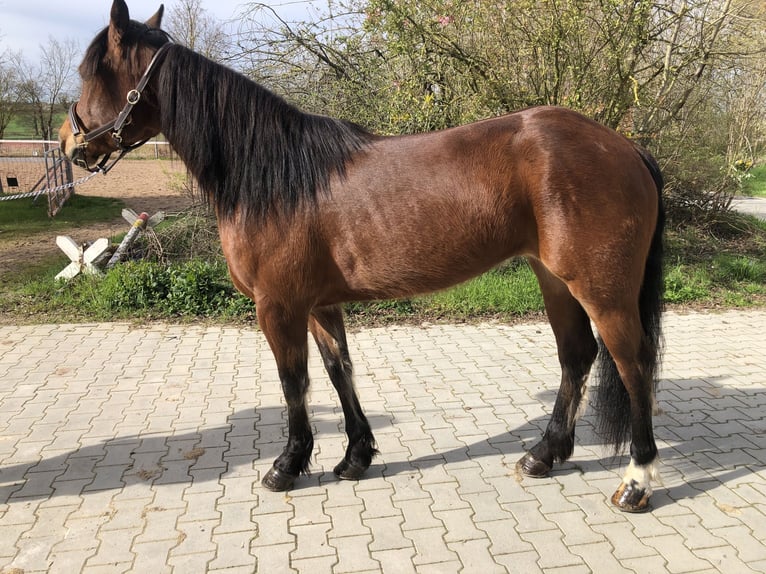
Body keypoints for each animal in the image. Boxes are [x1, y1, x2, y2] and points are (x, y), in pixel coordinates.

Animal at [60, 0, 664, 512]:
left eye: (91, 73)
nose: (69, 143)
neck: (275, 178)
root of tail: (625, 147)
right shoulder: (319, 304)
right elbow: (338, 372)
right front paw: (355, 456)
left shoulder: (278, 306)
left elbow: (294, 382)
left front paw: (286, 465)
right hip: (554, 279)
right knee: (576, 357)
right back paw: (543, 455)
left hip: (602, 289)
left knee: (632, 364)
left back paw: (635, 483)